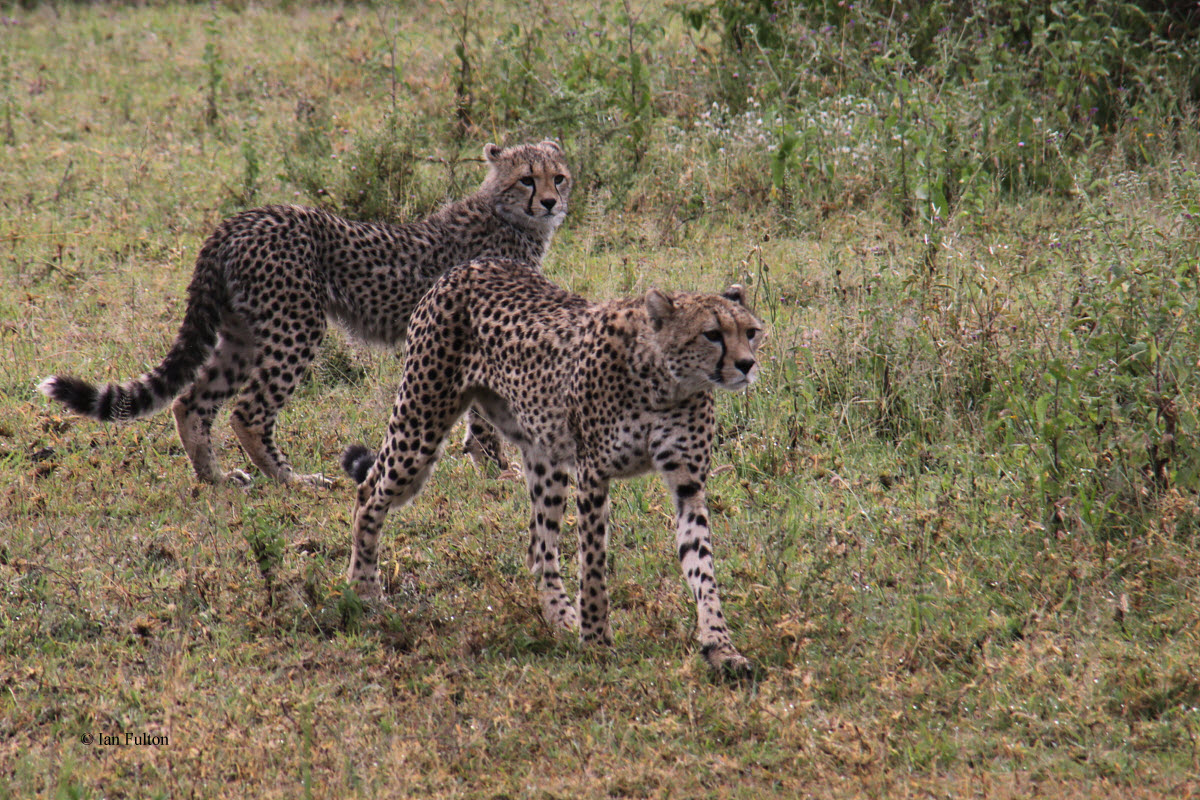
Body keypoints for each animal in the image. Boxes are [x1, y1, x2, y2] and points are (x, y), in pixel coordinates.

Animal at [37, 140, 571, 484]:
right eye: (527, 178)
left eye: (559, 177)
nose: (550, 202)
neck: (507, 215)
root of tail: (240, 219)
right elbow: (484, 421)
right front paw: (498, 472)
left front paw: (490, 467)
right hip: (297, 326)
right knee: (248, 412)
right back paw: (292, 479)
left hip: (242, 333)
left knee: (192, 401)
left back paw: (217, 478)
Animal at [343, 257, 763, 676]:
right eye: (712, 334)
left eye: (751, 332)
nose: (747, 364)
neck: (665, 382)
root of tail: (473, 264)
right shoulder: (593, 474)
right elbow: (592, 564)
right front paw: (596, 642)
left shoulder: (688, 485)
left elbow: (702, 566)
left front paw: (721, 646)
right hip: (421, 423)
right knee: (369, 492)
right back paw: (364, 590)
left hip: (545, 454)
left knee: (539, 548)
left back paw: (560, 617)